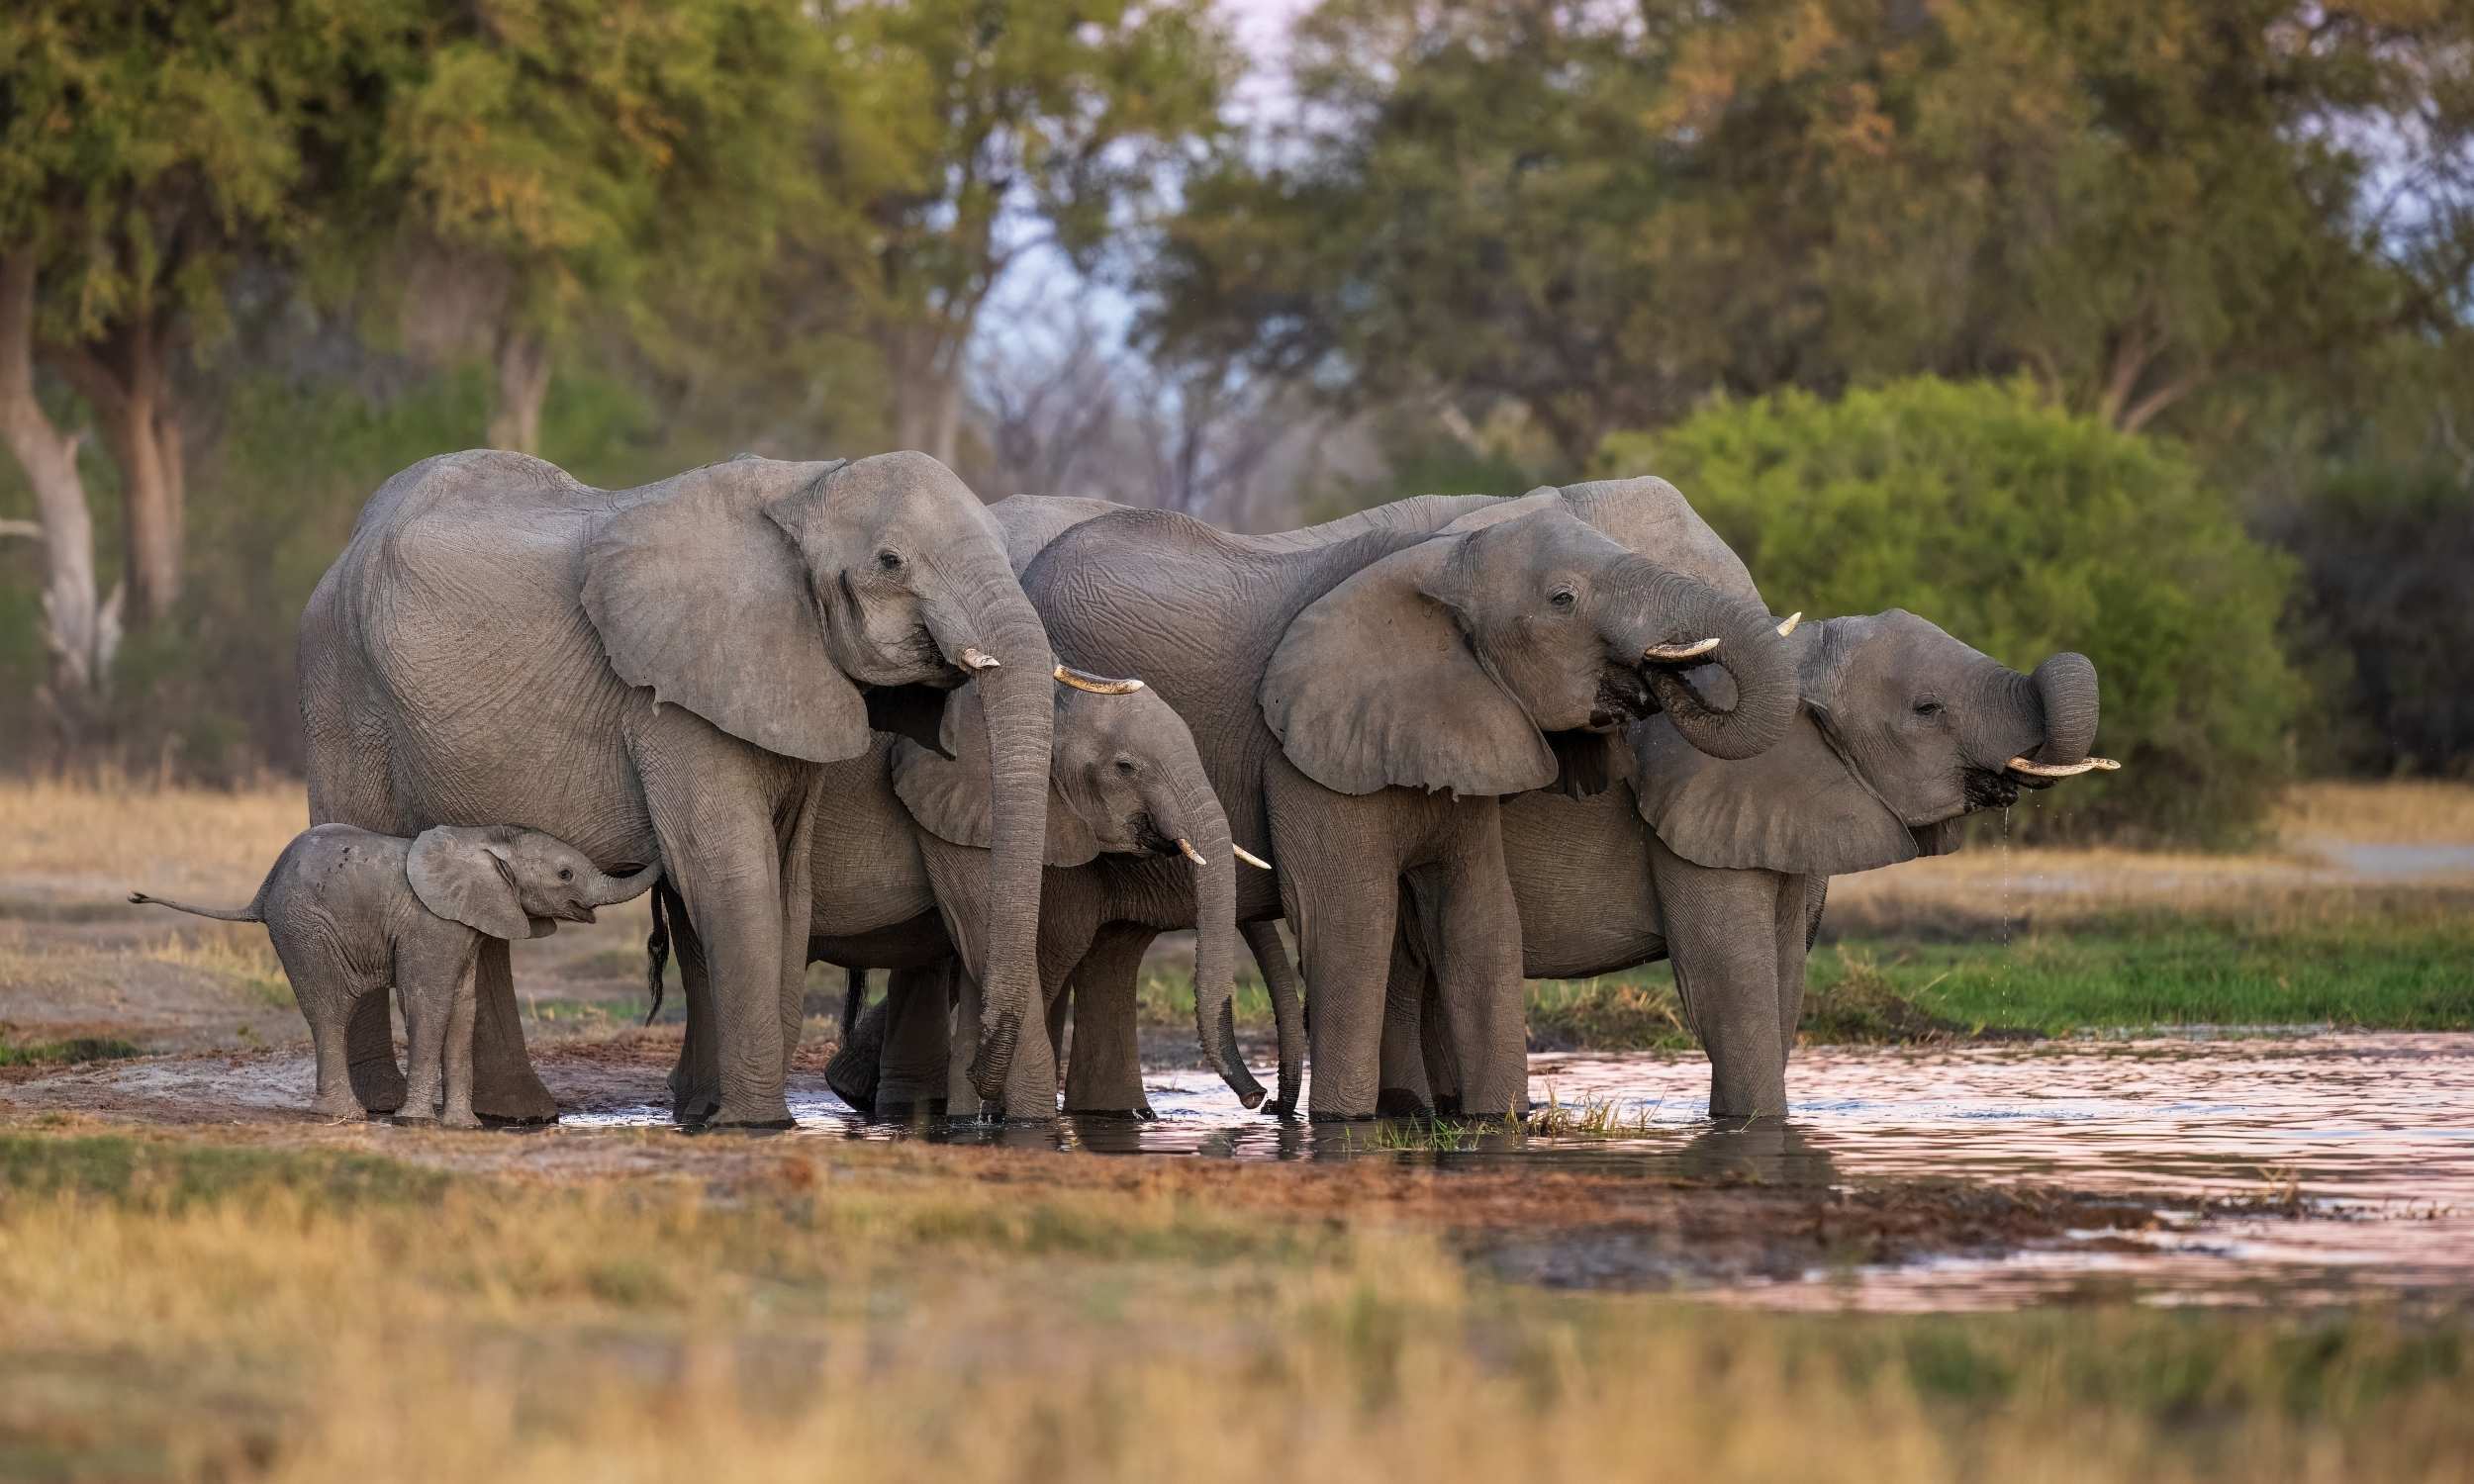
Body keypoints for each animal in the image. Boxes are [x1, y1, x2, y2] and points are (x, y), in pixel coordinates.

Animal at [132, 824, 658, 1125]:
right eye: (566, 874)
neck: (484, 840)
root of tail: (261, 891)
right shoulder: (432, 923)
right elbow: (428, 1000)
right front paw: (415, 1122)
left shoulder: (466, 926)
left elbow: (462, 1008)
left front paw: (463, 1127)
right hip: (305, 930)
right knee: (329, 1011)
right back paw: (344, 1117)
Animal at [298, 449, 1059, 1128]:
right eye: (892, 561)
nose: (982, 1085)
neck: (803, 487)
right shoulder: (676, 701)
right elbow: (730, 872)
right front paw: (756, 1125)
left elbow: (790, 883)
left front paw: (724, 1113)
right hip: (342, 692)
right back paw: (380, 1107)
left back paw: (512, 1115)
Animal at [1019, 498, 1799, 1119]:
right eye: (1563, 600)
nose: (1262, 1101)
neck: (1445, 561)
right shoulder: (1303, 750)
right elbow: (1349, 921)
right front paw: (1344, 1125)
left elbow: (1481, 922)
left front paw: (1497, 1123)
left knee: (1110, 948)